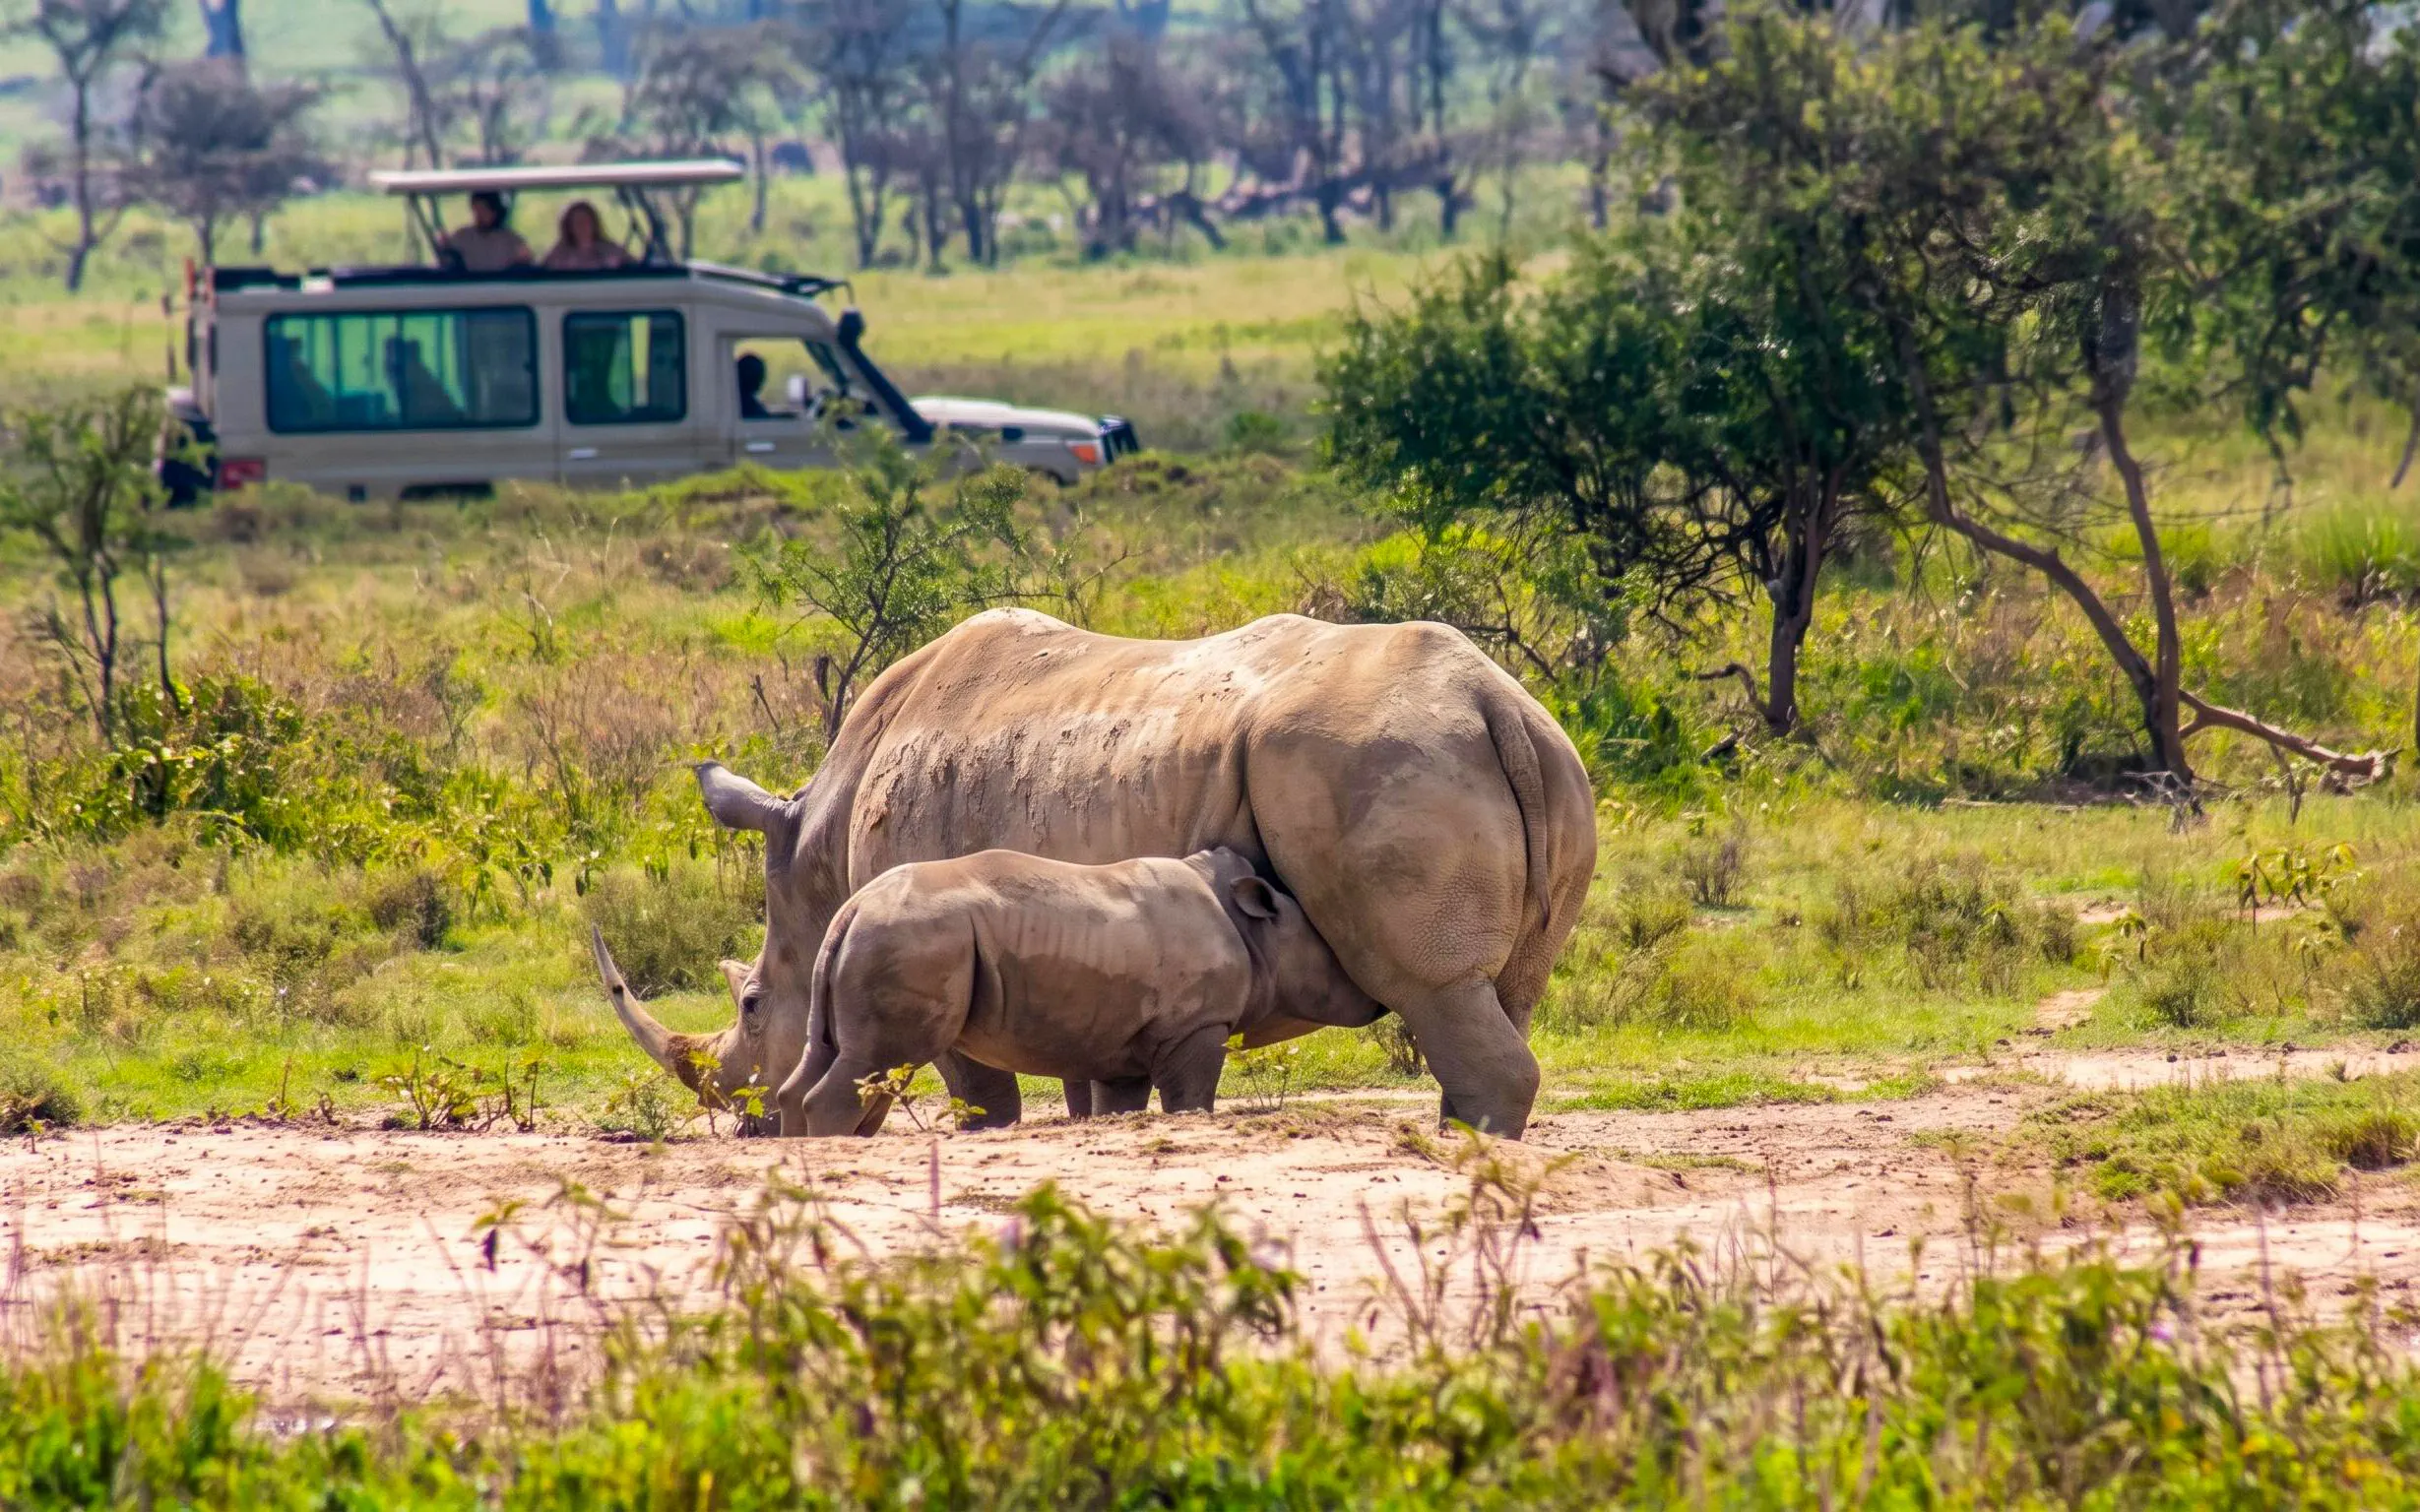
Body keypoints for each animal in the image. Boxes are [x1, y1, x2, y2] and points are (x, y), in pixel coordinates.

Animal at [773, 847, 1382, 1135]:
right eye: (1333, 958)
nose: (1373, 1001)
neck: (1255, 929)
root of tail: (851, 909)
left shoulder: (1125, 1045)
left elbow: (1120, 1102)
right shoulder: (1195, 1026)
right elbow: (1191, 1099)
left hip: (877, 939)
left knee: (838, 1061)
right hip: (911, 938)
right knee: (876, 1061)